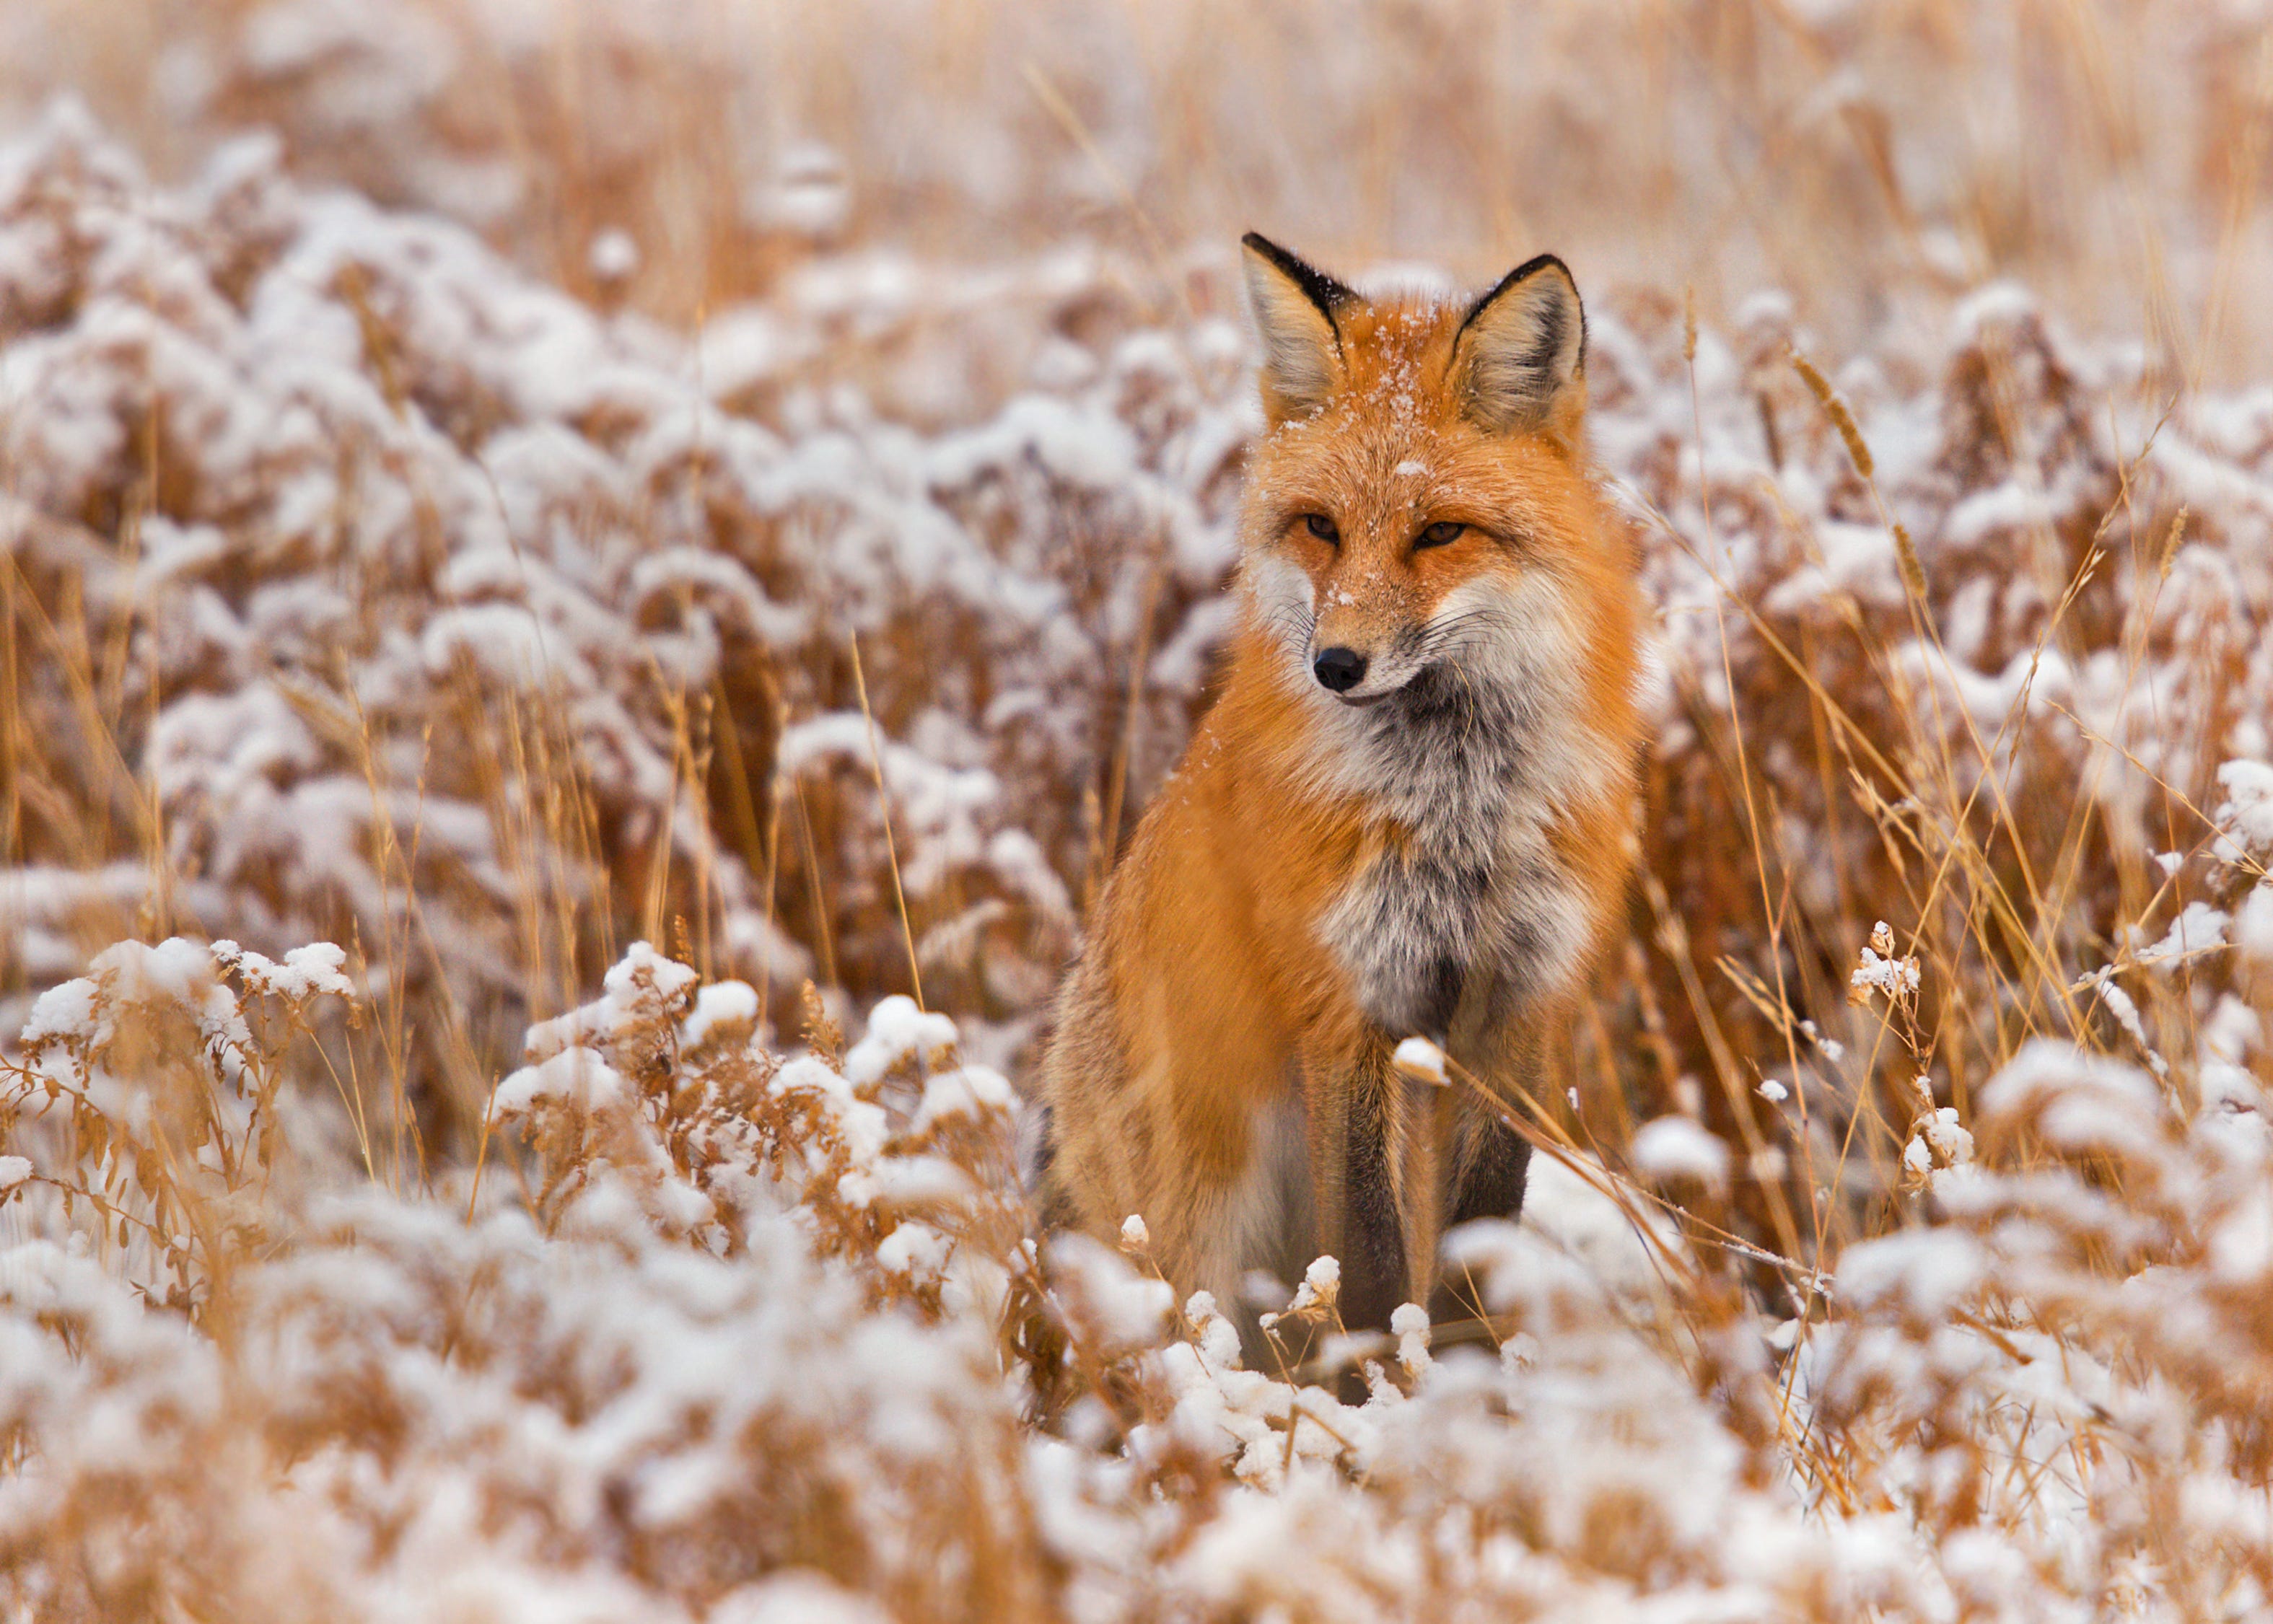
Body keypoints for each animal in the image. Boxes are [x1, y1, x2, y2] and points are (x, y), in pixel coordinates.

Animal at [1036, 234, 1655, 1344]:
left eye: (1440, 532)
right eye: (1320, 527)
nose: (1335, 664)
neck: (1458, 814)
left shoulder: (1519, 1000)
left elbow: (1478, 1234)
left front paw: (1466, 1371)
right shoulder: (1345, 1000)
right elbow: (1365, 1259)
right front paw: (1382, 1376)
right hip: (1202, 1212)